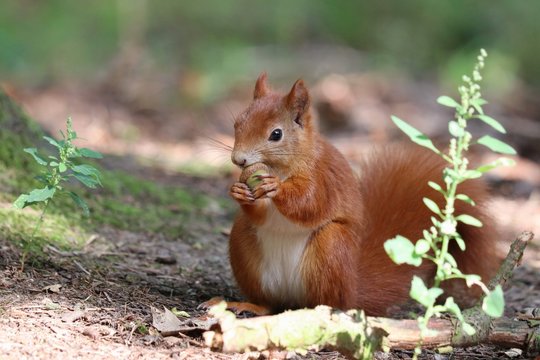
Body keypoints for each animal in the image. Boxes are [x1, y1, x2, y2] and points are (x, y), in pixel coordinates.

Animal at [213, 73, 500, 316]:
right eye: (237, 123)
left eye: (276, 134)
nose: (238, 160)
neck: (284, 167)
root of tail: (352, 288)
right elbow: (260, 215)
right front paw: (238, 191)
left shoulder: (324, 178)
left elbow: (311, 204)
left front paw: (276, 187)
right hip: (243, 242)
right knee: (269, 303)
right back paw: (250, 305)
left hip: (331, 248)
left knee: (329, 301)